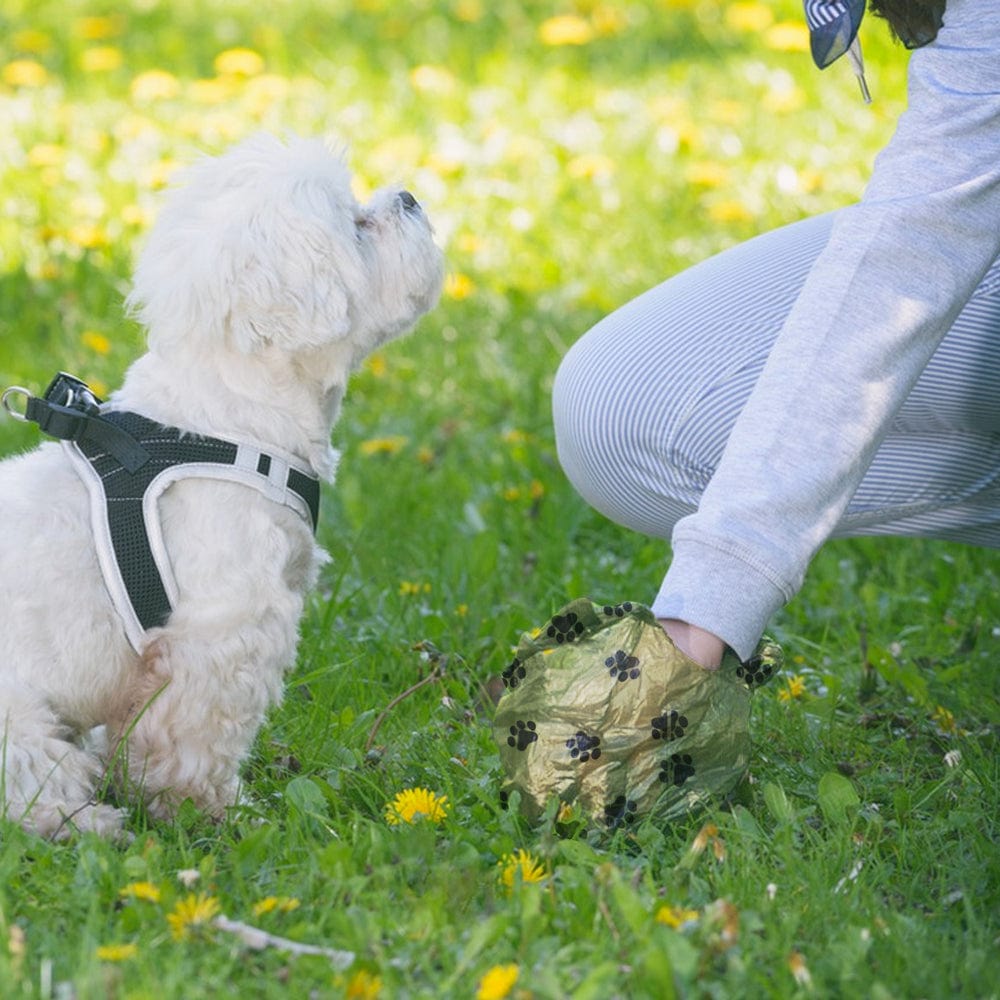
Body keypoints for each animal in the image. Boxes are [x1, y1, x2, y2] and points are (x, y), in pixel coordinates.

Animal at [0, 133, 442, 836]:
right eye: (356, 225)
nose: (408, 195)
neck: (226, 424)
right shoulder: (222, 631)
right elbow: (193, 738)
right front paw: (209, 810)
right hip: (16, 721)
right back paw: (85, 821)